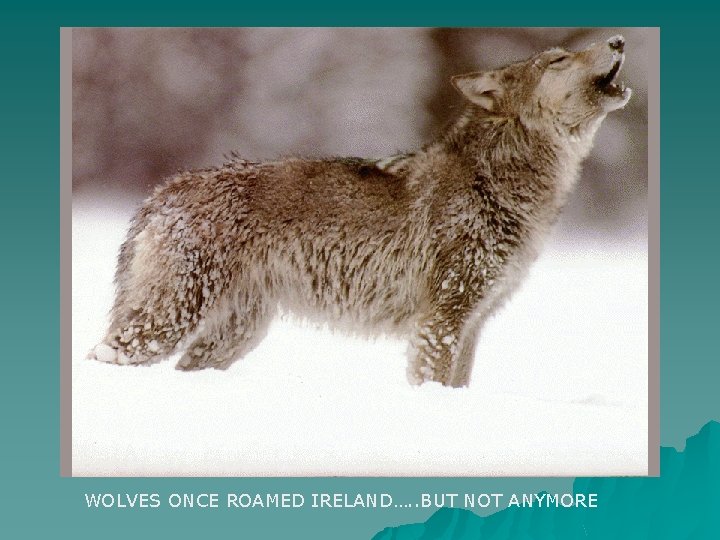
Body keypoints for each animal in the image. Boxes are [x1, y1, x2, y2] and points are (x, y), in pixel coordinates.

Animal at [88, 35, 631, 387]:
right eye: (558, 59)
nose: (620, 39)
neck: (498, 182)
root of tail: (162, 191)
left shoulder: (473, 323)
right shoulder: (442, 320)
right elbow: (431, 383)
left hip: (233, 336)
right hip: (170, 323)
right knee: (102, 354)